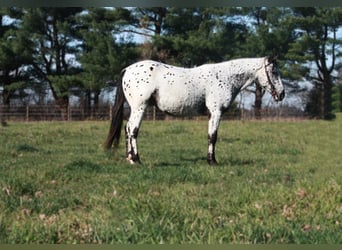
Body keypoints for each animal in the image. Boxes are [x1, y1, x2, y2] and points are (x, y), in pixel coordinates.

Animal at [105, 56, 286, 165]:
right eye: (274, 72)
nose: (282, 94)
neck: (224, 77)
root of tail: (127, 69)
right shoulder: (216, 112)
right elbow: (213, 136)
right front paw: (212, 161)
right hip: (139, 107)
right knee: (133, 130)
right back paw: (136, 159)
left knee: (128, 129)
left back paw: (129, 158)